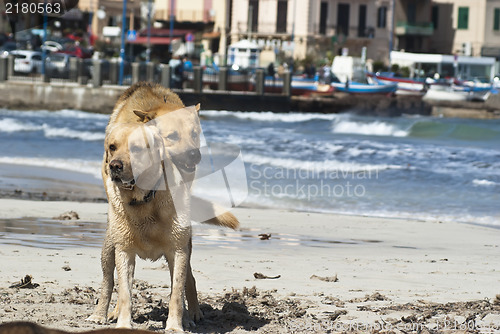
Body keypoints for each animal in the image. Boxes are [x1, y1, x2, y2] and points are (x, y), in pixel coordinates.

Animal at [88, 83, 240, 332]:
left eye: (195, 134)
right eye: (112, 147)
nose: (115, 166)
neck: (144, 199)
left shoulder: (177, 250)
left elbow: (176, 292)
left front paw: (176, 325)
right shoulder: (124, 250)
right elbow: (124, 291)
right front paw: (122, 321)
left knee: (187, 280)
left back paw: (191, 315)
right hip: (110, 246)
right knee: (109, 280)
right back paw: (101, 313)